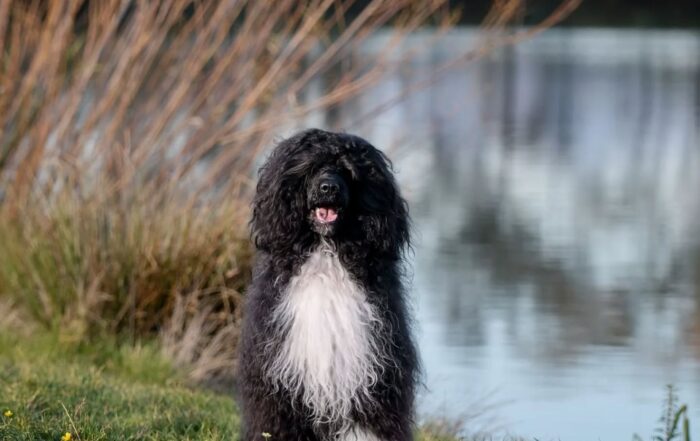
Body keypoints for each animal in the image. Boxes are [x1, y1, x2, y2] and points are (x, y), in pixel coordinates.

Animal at [238, 129, 419, 441]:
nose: (328, 188)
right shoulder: (279, 382)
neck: (326, 252)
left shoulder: (370, 376)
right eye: (310, 167)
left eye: (348, 170)